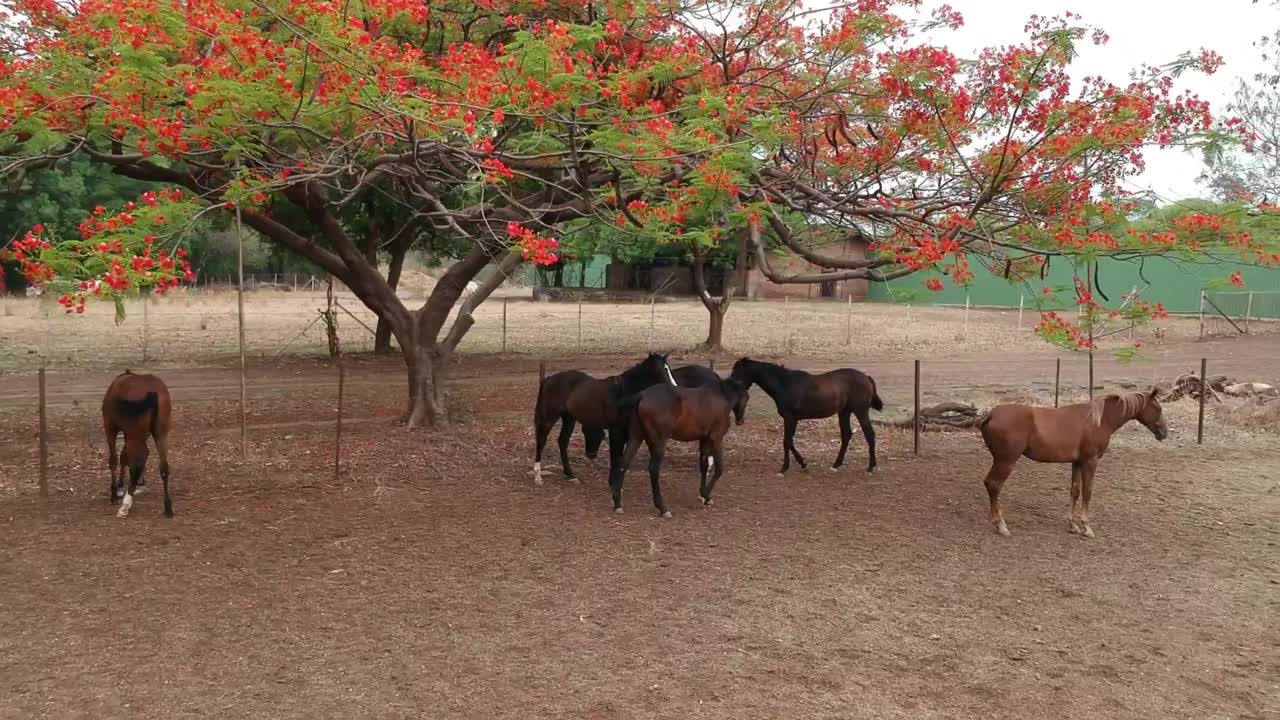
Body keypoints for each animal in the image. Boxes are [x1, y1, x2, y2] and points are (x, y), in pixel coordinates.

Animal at [102, 370, 174, 518]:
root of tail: (153, 391)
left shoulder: (110, 428)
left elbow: (115, 459)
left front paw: (115, 492)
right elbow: (127, 456)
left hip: (133, 434)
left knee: (135, 464)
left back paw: (126, 504)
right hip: (161, 433)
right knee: (164, 466)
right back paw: (167, 506)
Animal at [533, 352, 678, 484]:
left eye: (668, 368)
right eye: (660, 369)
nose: (674, 388)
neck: (622, 393)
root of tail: (548, 379)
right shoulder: (615, 430)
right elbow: (616, 457)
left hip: (569, 418)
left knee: (563, 441)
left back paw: (570, 475)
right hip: (550, 417)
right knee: (541, 440)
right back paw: (538, 476)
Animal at [610, 378, 749, 517]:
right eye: (747, 397)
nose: (740, 421)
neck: (720, 397)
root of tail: (642, 395)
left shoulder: (704, 439)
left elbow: (704, 466)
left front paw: (704, 496)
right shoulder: (716, 438)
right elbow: (719, 468)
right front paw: (706, 495)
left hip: (636, 438)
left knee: (623, 463)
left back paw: (618, 504)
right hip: (659, 442)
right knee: (653, 469)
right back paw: (663, 508)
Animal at [729, 357, 883, 475]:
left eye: (737, 371)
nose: (730, 386)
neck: (784, 384)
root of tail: (866, 377)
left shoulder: (790, 418)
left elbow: (786, 441)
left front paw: (784, 468)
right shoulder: (793, 419)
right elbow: (789, 441)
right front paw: (803, 463)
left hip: (860, 411)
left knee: (869, 434)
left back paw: (871, 467)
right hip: (844, 412)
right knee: (846, 435)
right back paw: (836, 465)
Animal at [977, 388, 1168, 538]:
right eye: (1157, 408)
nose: (1164, 433)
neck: (1098, 420)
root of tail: (990, 415)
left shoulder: (1077, 462)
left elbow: (1075, 491)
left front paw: (1072, 525)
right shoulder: (1090, 461)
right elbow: (1087, 492)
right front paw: (1086, 527)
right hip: (1006, 461)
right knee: (994, 485)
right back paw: (1001, 525)